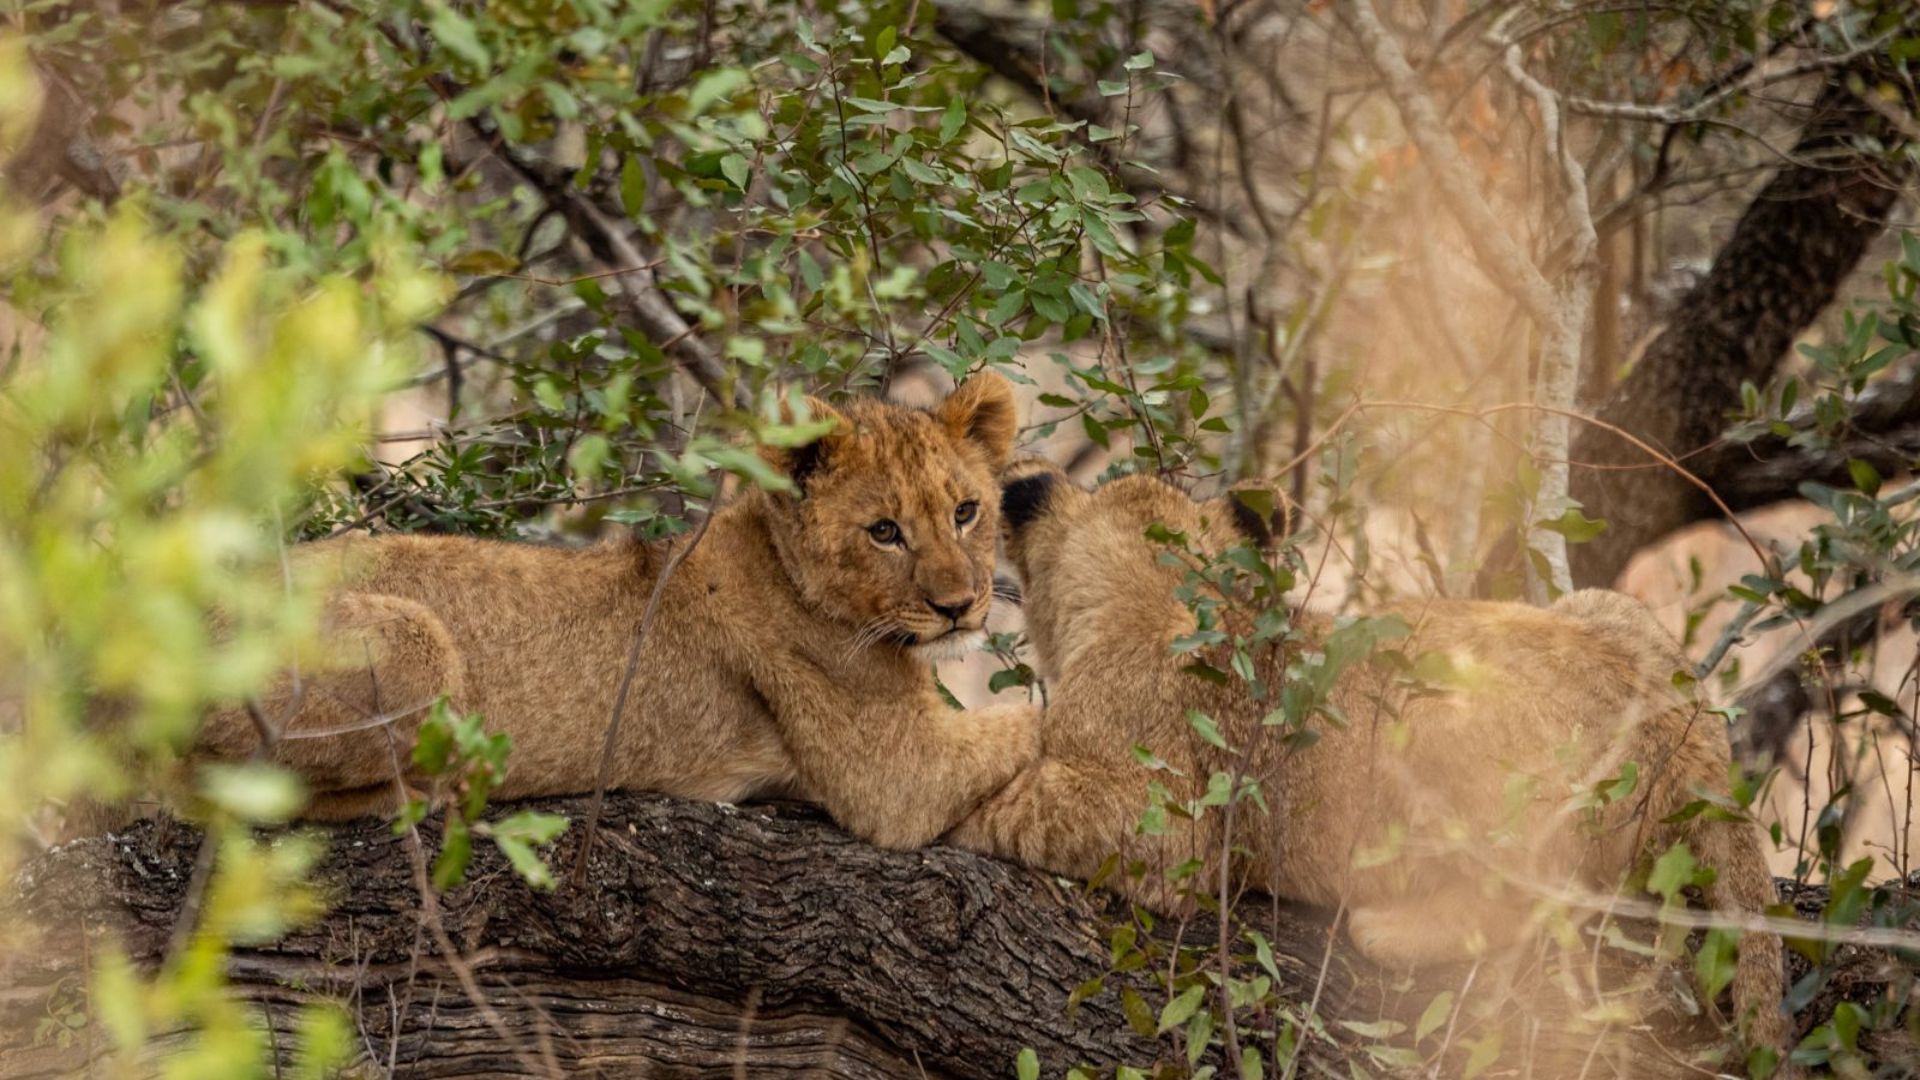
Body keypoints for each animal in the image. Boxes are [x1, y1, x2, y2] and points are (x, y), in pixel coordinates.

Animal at [188, 373, 1038, 849]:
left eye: (966, 512)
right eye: (885, 532)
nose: (960, 607)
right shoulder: (895, 777)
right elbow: (1032, 722)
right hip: (413, 640)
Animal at [945, 458, 1787, 1054]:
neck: (1157, 590)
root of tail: (1686, 740)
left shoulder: (1160, 829)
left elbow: (1015, 809)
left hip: (1429, 710)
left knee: (1541, 898)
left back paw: (1386, 928)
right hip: (1608, 613)